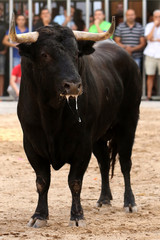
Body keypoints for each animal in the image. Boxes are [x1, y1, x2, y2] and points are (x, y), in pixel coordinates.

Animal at [16, 23, 141, 228]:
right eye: (44, 54)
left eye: (76, 53)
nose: (73, 85)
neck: (52, 115)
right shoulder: (32, 145)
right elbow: (42, 181)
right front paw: (39, 216)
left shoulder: (82, 145)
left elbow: (74, 181)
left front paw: (77, 216)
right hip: (99, 137)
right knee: (104, 163)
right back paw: (104, 199)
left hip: (128, 124)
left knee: (125, 163)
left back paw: (129, 203)